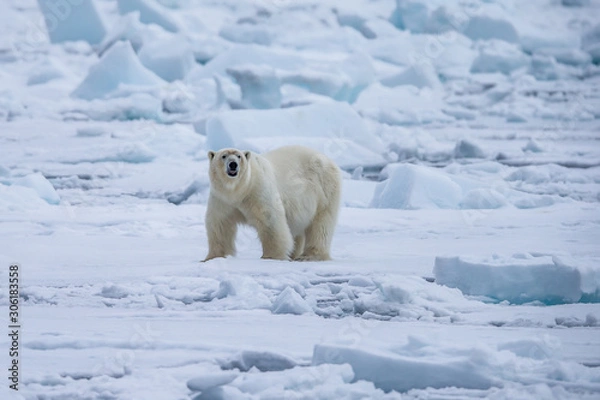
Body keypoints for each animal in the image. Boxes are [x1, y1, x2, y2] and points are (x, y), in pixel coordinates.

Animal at [204, 145, 340, 260]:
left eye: (239, 156)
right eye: (223, 156)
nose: (233, 164)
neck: (240, 190)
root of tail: (330, 161)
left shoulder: (257, 190)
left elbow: (270, 220)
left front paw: (271, 256)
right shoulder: (222, 199)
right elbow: (220, 224)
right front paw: (212, 257)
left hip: (325, 189)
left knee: (321, 225)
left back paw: (310, 255)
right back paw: (295, 254)